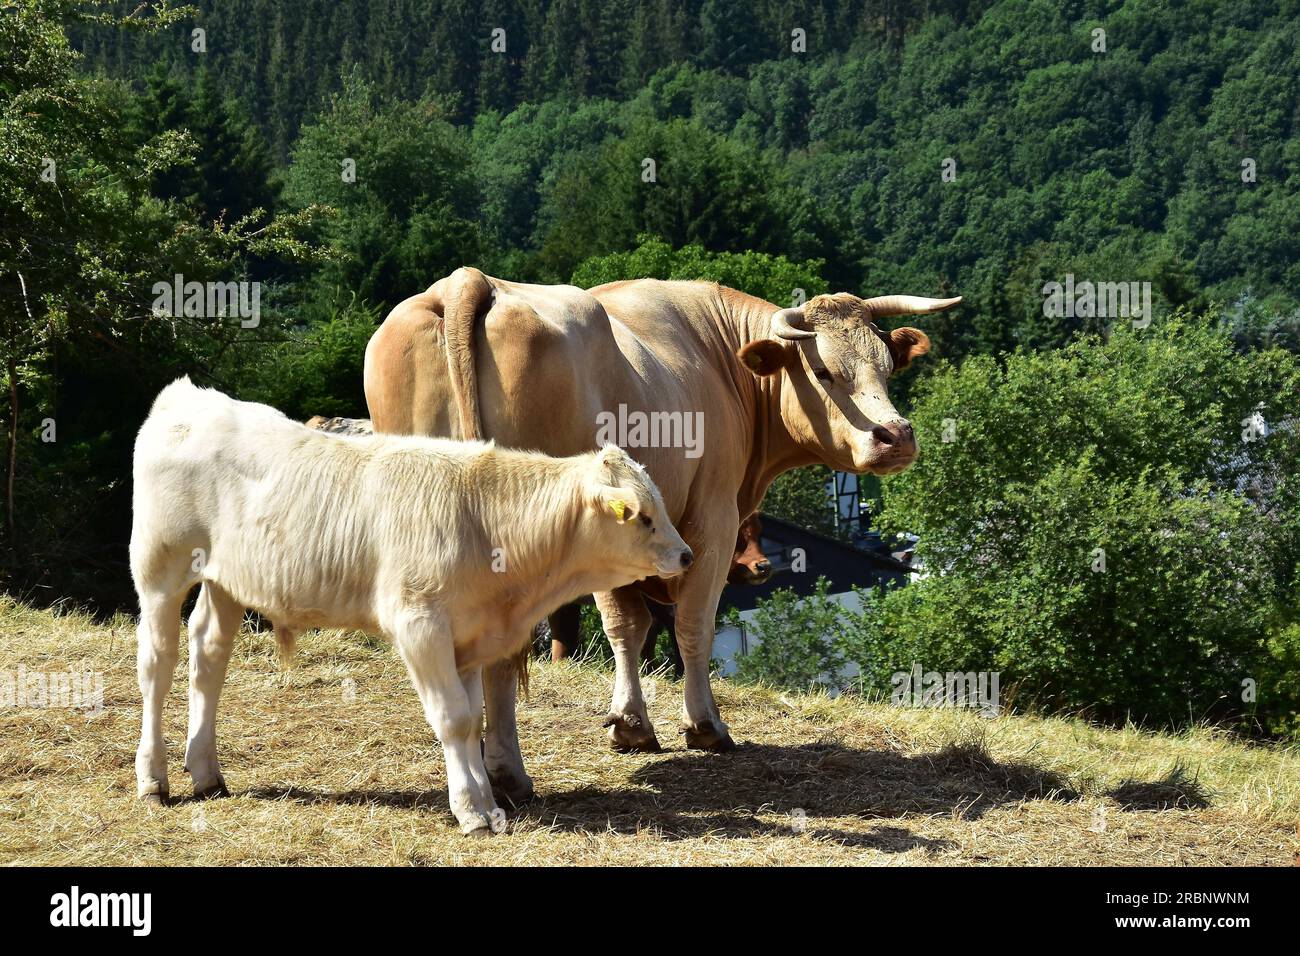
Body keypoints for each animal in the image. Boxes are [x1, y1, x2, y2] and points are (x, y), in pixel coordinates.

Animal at [129, 377, 691, 834]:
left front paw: (486, 802)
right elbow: (454, 719)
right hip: (159, 570)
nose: (686, 554)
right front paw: (470, 810)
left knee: (209, 656)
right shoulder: (420, 625)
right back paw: (154, 779)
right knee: (158, 665)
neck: (483, 519)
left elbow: (472, 719)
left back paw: (206, 773)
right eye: (642, 516)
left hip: (226, 580)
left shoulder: (468, 635)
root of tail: (188, 397)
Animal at [363, 268, 958, 802]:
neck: (721, 359)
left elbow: (627, 626)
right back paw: (508, 773)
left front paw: (631, 725)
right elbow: (691, 624)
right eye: (825, 373)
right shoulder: (712, 519)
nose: (896, 436)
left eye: (887, 368)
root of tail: (470, 280)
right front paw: (704, 725)